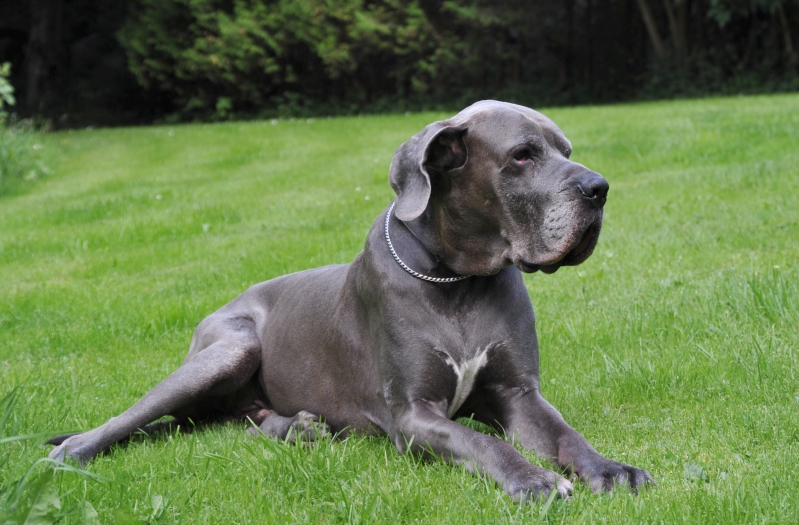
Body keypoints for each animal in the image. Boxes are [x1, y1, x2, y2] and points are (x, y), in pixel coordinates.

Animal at [48, 100, 653, 500]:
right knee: (130, 419)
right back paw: (69, 452)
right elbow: (484, 444)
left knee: (237, 417)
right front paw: (531, 478)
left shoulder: (518, 394)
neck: (457, 281)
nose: (599, 189)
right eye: (523, 156)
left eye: (565, 151)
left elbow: (566, 434)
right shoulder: (412, 415)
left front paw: (610, 468)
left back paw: (296, 428)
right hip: (229, 347)